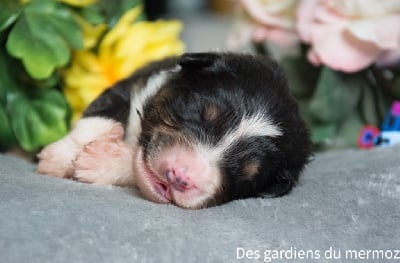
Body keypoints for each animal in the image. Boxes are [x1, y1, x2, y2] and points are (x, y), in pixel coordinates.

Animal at [37, 52, 312, 209]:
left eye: (248, 175)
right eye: (200, 111)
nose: (180, 176)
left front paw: (103, 162)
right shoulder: (136, 83)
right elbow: (102, 114)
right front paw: (60, 157)